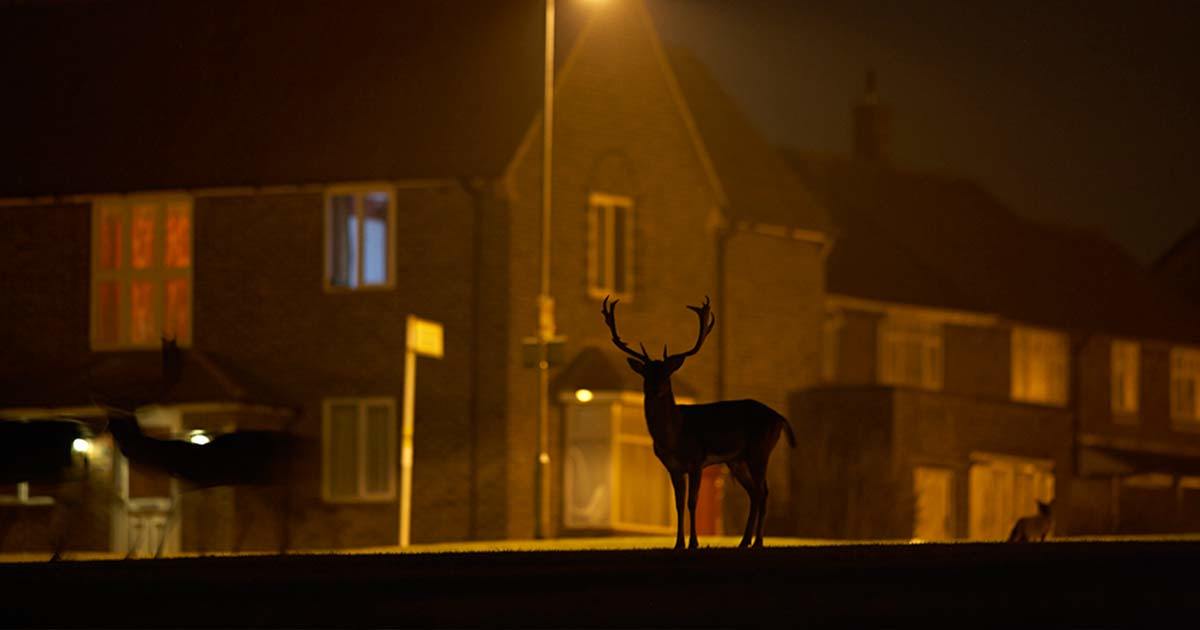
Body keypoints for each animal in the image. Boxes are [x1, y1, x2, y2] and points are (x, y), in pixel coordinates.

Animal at [604, 295, 792, 544]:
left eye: (667, 374)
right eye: (647, 374)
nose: (656, 388)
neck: (674, 435)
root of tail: (780, 417)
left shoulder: (696, 461)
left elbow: (692, 503)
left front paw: (693, 542)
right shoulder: (673, 467)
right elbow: (678, 505)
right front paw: (678, 544)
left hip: (760, 450)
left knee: (763, 492)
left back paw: (757, 542)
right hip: (738, 460)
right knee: (755, 493)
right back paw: (744, 542)